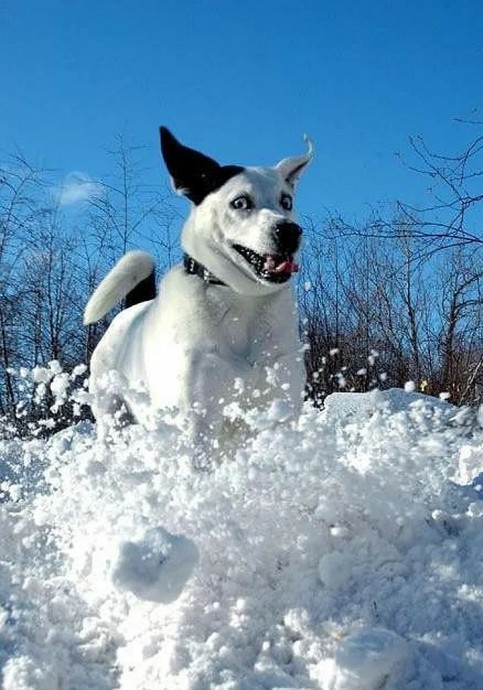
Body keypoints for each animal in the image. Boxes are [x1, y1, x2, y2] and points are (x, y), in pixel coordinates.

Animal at [84, 127, 312, 456]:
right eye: (240, 202)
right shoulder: (197, 422)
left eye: (287, 201)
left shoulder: (279, 412)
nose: (290, 231)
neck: (241, 300)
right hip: (112, 416)